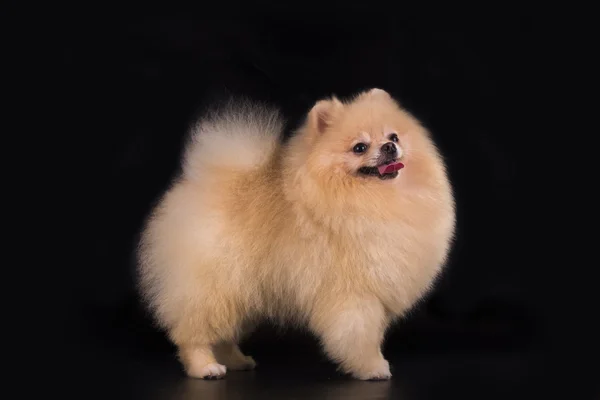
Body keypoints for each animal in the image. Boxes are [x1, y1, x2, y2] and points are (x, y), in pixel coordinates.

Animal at [137, 88, 454, 382]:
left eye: (394, 136)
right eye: (360, 147)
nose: (389, 147)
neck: (376, 199)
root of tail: (203, 181)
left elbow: (373, 334)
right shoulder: (354, 295)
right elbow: (360, 336)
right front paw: (372, 368)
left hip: (243, 292)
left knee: (225, 333)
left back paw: (238, 361)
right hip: (214, 288)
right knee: (193, 332)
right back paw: (205, 367)